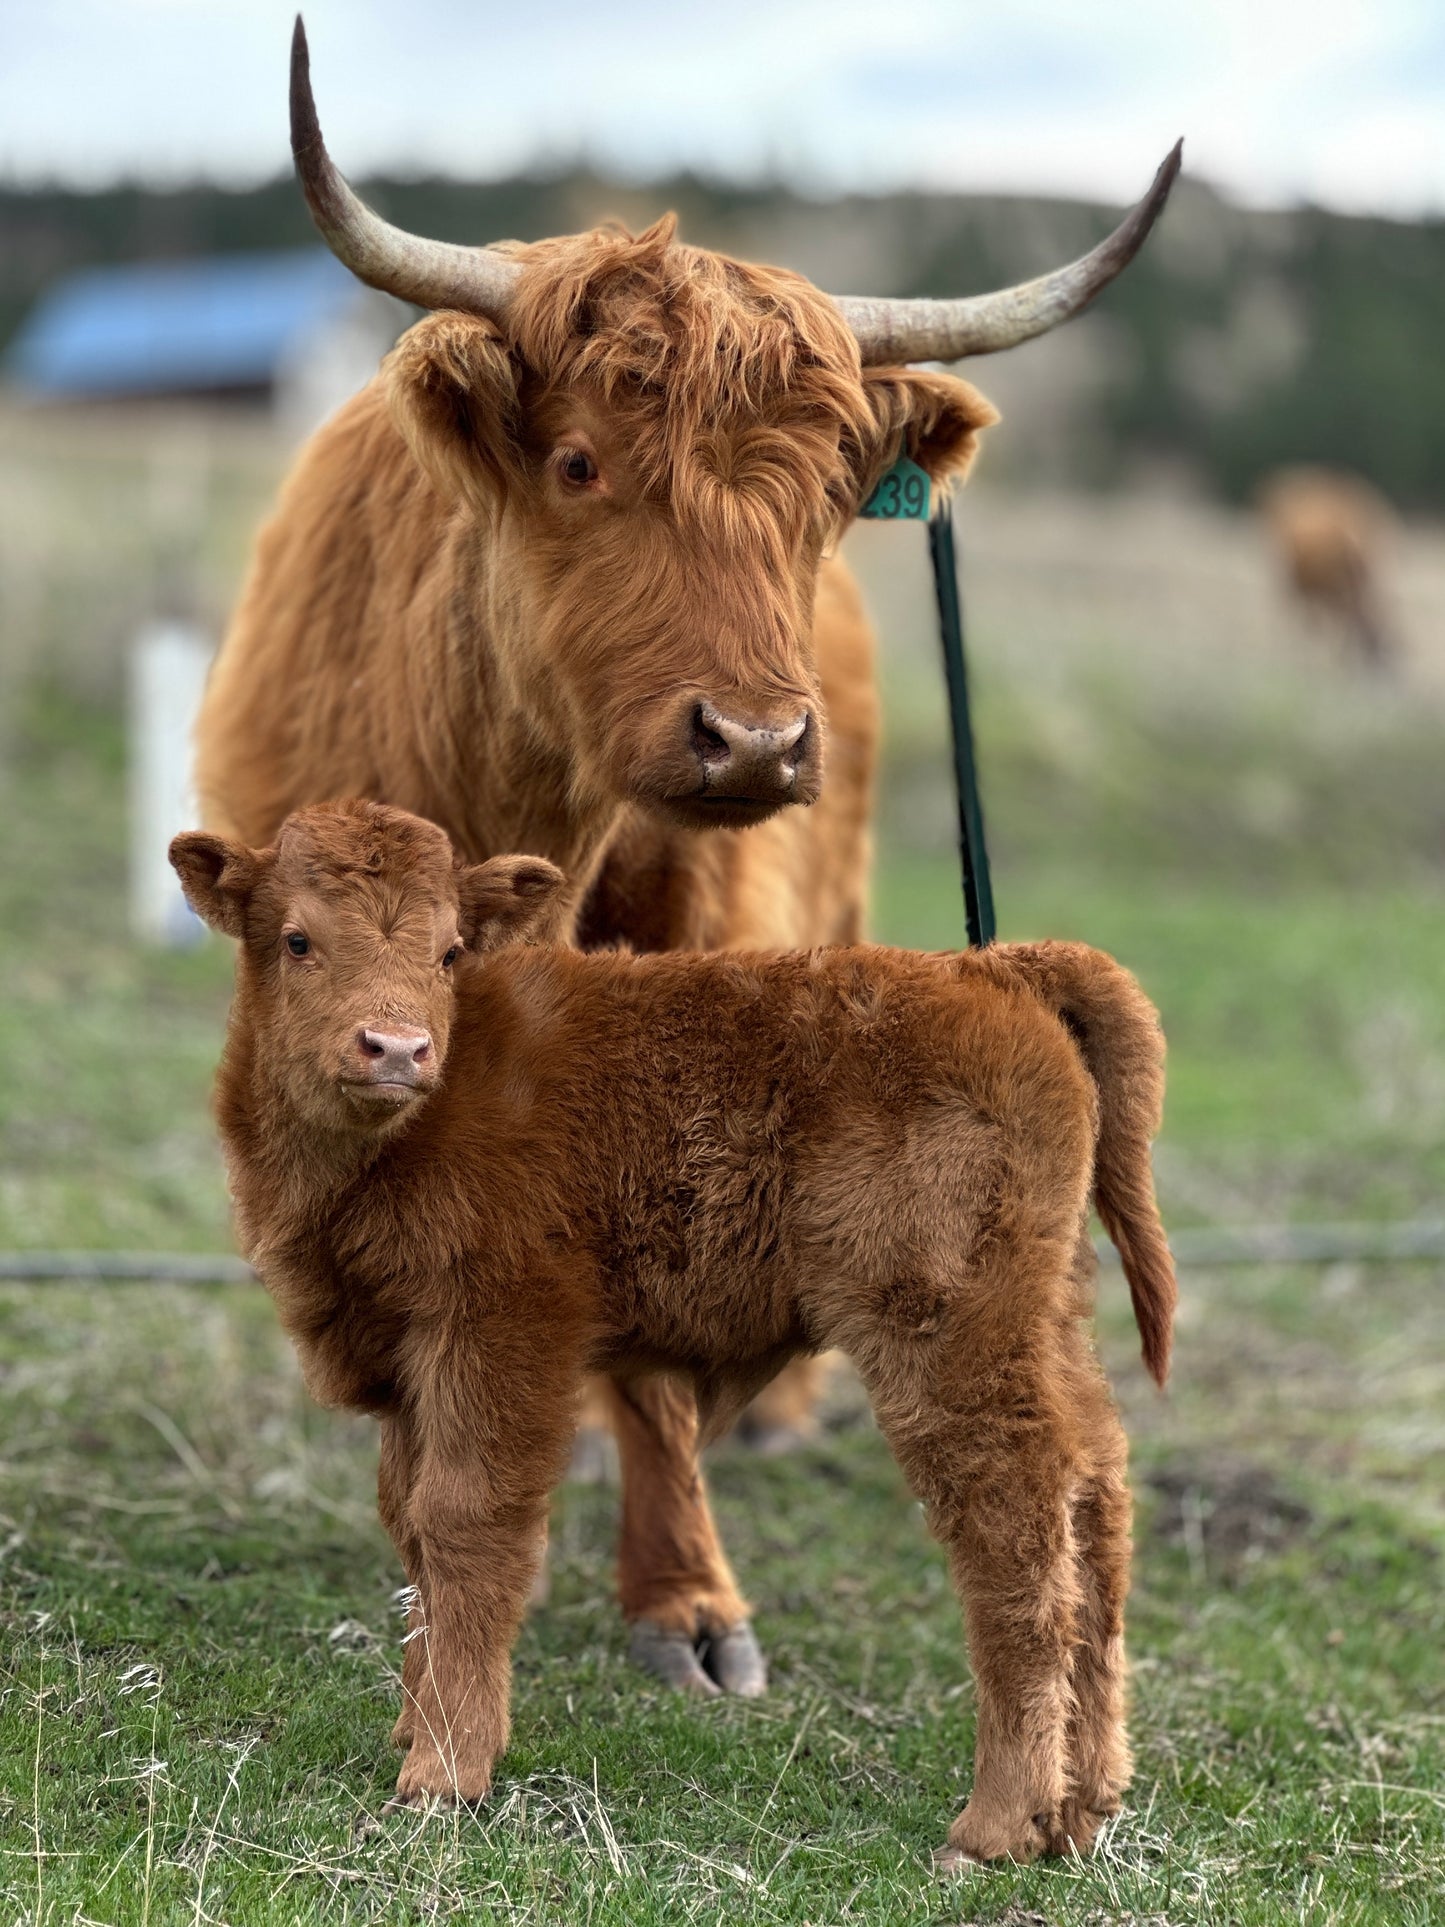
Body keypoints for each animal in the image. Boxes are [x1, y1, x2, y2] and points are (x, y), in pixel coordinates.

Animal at [170, 799, 1176, 1865]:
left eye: (448, 950)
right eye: (296, 939)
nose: (396, 1048)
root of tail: (989, 970)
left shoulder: (501, 1334)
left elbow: (469, 1523)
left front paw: (444, 1769)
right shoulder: (408, 1362)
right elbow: (411, 1526)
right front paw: (413, 1725)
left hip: (945, 1340)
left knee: (1013, 1528)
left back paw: (995, 1824)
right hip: (1042, 1321)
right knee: (1094, 1492)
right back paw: (1083, 1804)